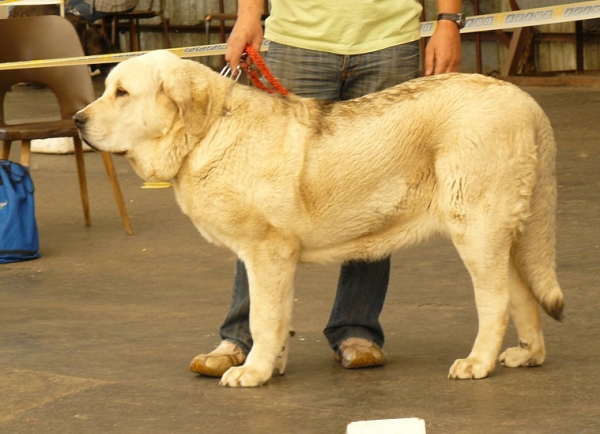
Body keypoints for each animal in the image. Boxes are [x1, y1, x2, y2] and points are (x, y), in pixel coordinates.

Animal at [74, 50, 564, 386]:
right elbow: (279, 317)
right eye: (107, 88)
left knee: (495, 301)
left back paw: (477, 362)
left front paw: (252, 372)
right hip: (501, 237)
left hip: (476, 232)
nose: (77, 120)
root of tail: (523, 99)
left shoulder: (266, 253)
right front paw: (272, 365)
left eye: (121, 93)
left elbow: (262, 318)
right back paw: (527, 354)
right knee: (522, 295)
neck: (208, 130)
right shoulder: (277, 260)